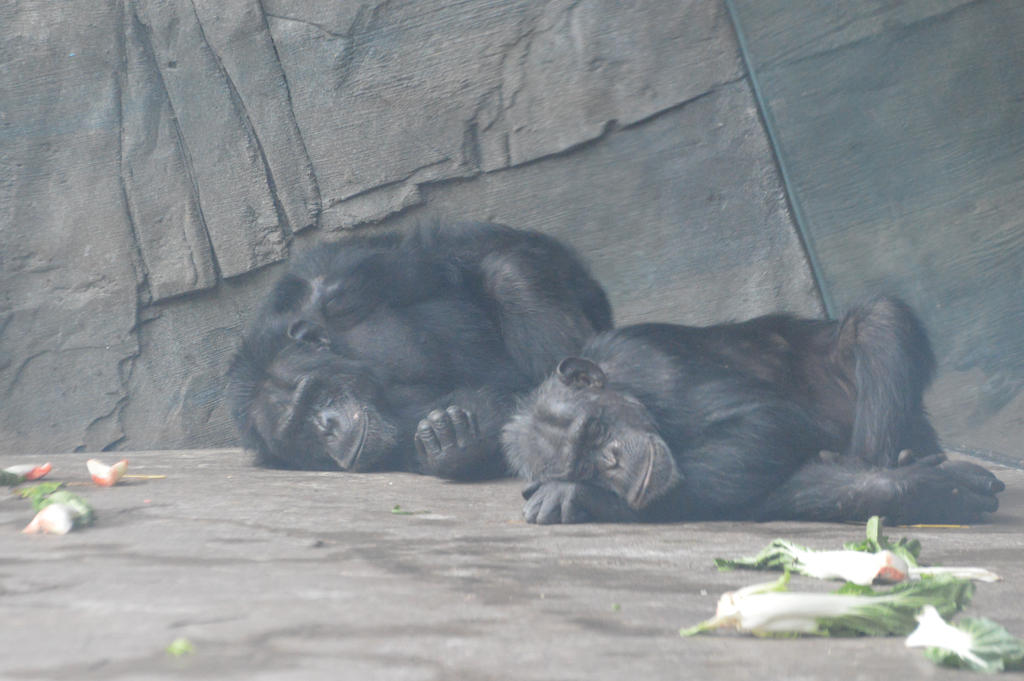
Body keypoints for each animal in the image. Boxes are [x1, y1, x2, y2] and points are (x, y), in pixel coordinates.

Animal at [228, 220, 610, 475]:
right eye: (300, 429)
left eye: (315, 397)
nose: (327, 426)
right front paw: (454, 440)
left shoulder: (343, 278)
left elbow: (442, 259)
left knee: (512, 274)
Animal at [503, 294, 1007, 522]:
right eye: (581, 464)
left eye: (594, 429)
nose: (610, 461)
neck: (624, 383)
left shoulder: (651, 365)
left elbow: (767, 422)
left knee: (880, 321)